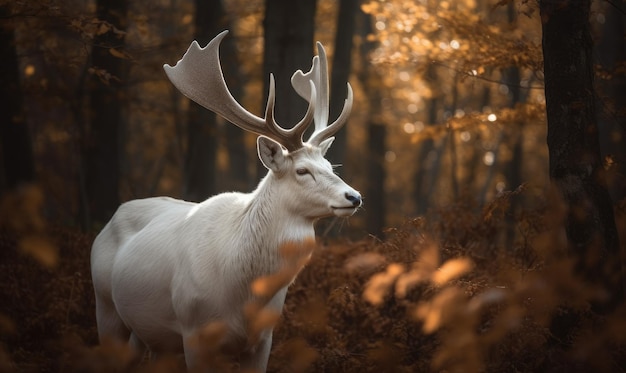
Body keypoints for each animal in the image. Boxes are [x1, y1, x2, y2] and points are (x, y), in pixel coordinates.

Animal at [89, 29, 358, 370]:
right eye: (302, 170)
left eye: (330, 166)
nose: (354, 196)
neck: (242, 293)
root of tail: (108, 223)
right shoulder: (194, 331)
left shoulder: (263, 338)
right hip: (106, 307)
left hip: (149, 335)